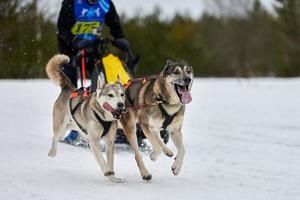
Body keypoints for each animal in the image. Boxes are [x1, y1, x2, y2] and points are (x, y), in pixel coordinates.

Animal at [46, 54, 125, 183]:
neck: (104, 118)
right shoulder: (93, 141)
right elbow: (102, 160)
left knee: (59, 136)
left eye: (122, 94)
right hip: (60, 126)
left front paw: (113, 178)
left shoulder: (109, 142)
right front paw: (107, 171)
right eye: (110, 95)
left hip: (71, 126)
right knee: (55, 137)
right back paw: (52, 152)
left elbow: (111, 162)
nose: (120, 104)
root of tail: (69, 88)